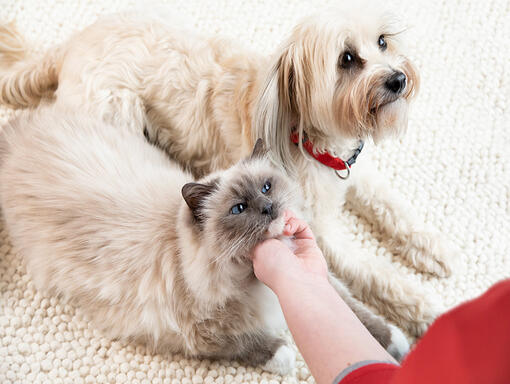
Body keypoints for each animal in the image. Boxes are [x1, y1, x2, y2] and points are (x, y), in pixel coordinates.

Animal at [0, 2, 454, 336]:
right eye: (346, 59)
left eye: (382, 41)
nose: (398, 79)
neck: (305, 134)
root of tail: (72, 44)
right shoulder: (319, 229)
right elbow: (376, 273)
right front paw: (423, 308)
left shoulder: (348, 170)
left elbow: (392, 204)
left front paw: (431, 246)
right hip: (114, 115)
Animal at [0, 106, 408, 376]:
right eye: (239, 208)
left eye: (266, 187)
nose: (269, 209)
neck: (250, 277)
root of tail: (15, 131)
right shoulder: (192, 333)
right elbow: (253, 345)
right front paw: (286, 359)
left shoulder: (312, 275)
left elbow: (355, 313)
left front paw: (396, 343)